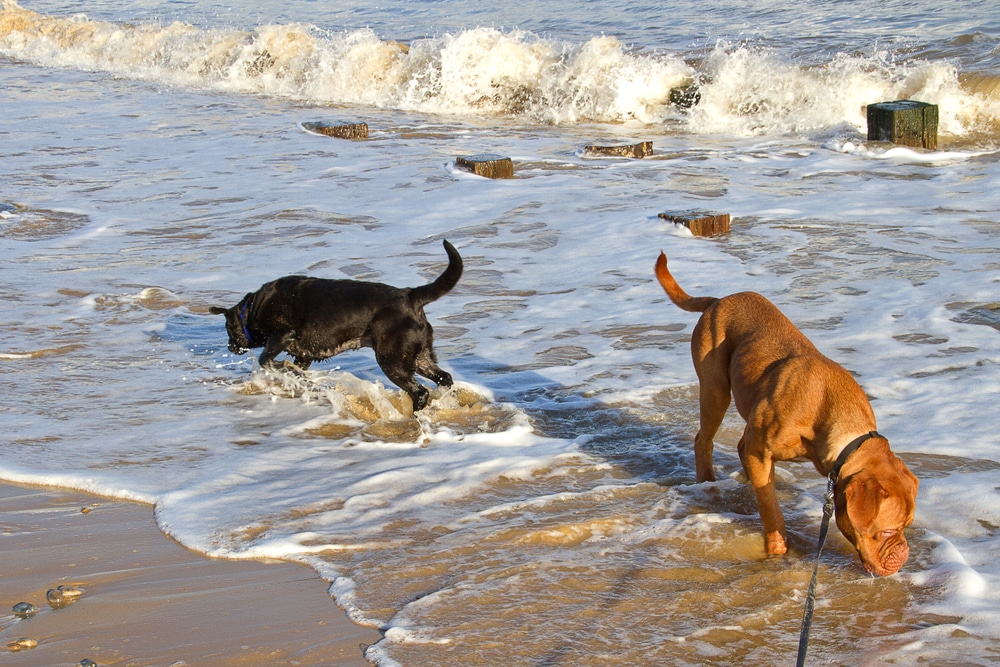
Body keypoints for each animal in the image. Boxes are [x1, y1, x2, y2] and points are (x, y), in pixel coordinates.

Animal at [213, 237, 462, 410]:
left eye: (228, 329)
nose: (230, 346)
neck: (252, 308)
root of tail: (410, 295)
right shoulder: (304, 356)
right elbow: (296, 368)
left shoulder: (282, 335)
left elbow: (266, 359)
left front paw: (282, 368)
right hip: (419, 357)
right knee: (444, 378)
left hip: (392, 360)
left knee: (419, 392)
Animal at [652, 253, 916, 576]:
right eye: (888, 531)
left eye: (907, 525)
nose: (903, 557)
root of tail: (718, 301)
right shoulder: (760, 452)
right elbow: (771, 510)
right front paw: (777, 549)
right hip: (715, 391)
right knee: (704, 440)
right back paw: (707, 482)